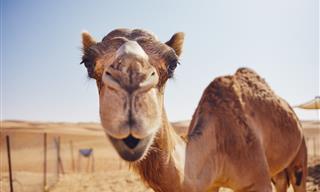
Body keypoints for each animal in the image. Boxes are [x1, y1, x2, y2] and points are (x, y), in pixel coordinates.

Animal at [80, 28, 308, 192]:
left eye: (173, 64)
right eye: (87, 63)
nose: (131, 84)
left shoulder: (257, 181)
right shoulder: (209, 185)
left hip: (300, 153)